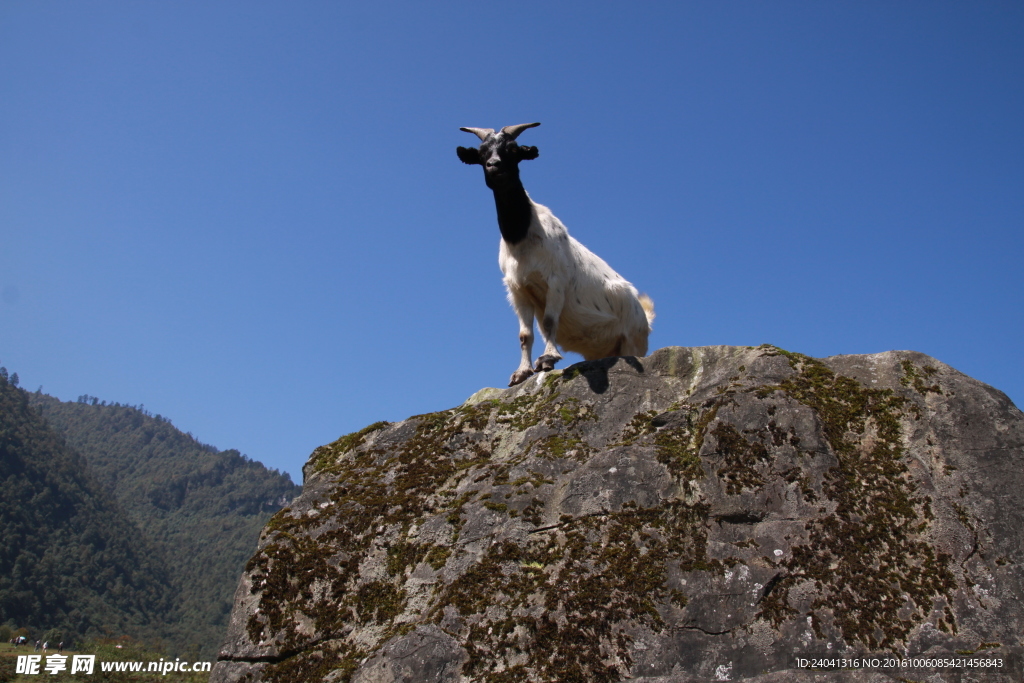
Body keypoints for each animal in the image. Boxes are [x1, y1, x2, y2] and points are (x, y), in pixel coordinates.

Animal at [458, 122, 655, 387]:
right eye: (481, 153)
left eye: (513, 149)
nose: (494, 166)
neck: (521, 237)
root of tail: (644, 316)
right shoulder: (518, 290)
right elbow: (524, 334)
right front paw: (521, 372)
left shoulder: (555, 280)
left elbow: (550, 321)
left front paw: (548, 359)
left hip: (633, 341)